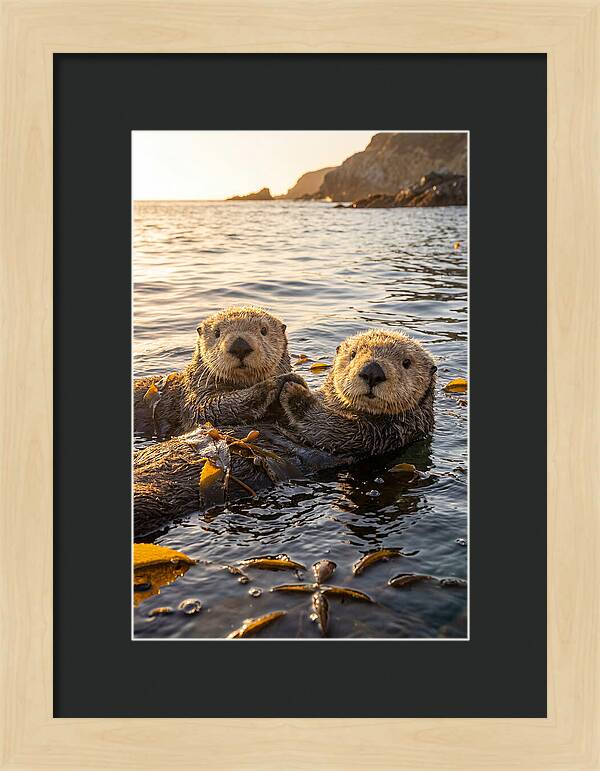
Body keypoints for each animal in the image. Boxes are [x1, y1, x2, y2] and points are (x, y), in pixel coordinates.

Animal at [134, 305, 296, 439]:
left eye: (264, 330)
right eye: (217, 332)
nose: (240, 346)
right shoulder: (196, 396)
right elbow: (209, 409)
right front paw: (275, 383)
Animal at [134, 330, 436, 537]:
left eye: (406, 363)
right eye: (352, 356)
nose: (372, 371)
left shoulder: (380, 434)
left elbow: (326, 425)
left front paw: (293, 389)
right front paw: (280, 382)